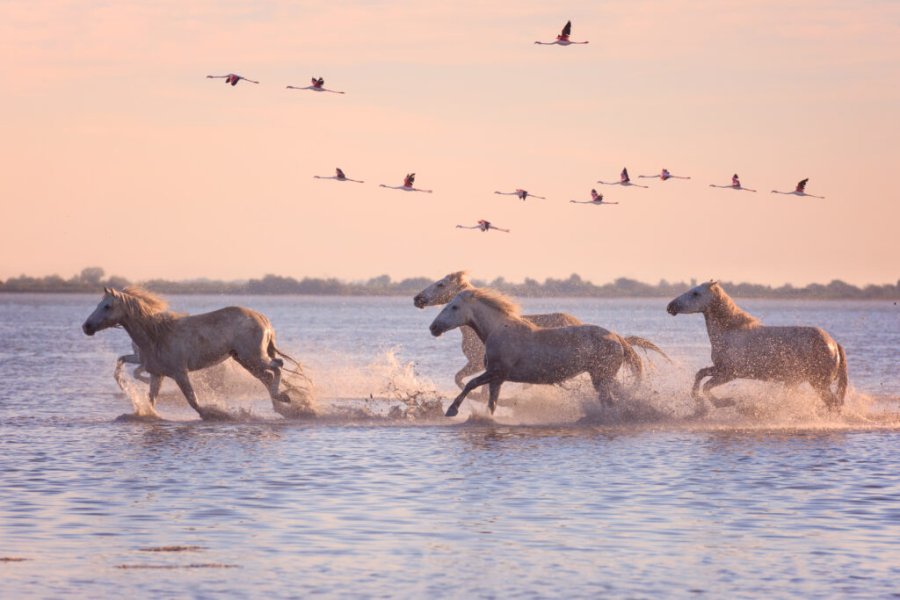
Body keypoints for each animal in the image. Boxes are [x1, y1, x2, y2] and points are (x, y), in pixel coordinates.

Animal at [84, 288, 310, 420]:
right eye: (98, 304)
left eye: (107, 306)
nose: (86, 327)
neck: (156, 335)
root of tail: (263, 318)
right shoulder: (157, 374)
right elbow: (149, 397)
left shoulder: (179, 373)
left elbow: (193, 401)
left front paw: (215, 414)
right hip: (245, 360)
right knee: (268, 376)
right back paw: (283, 406)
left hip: (254, 357)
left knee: (277, 366)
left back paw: (285, 398)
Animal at [428, 290, 668, 418]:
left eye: (454, 307)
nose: (433, 327)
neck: (498, 330)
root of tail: (617, 338)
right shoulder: (498, 379)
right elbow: (491, 403)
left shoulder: (497, 372)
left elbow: (470, 384)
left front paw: (452, 410)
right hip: (603, 377)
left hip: (602, 377)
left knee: (611, 401)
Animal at [668, 282, 852, 412]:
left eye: (695, 293)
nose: (670, 306)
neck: (730, 332)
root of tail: (834, 344)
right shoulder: (719, 368)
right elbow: (700, 374)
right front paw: (698, 402)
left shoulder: (729, 373)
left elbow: (707, 386)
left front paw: (726, 403)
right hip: (799, 382)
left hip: (819, 384)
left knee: (834, 404)